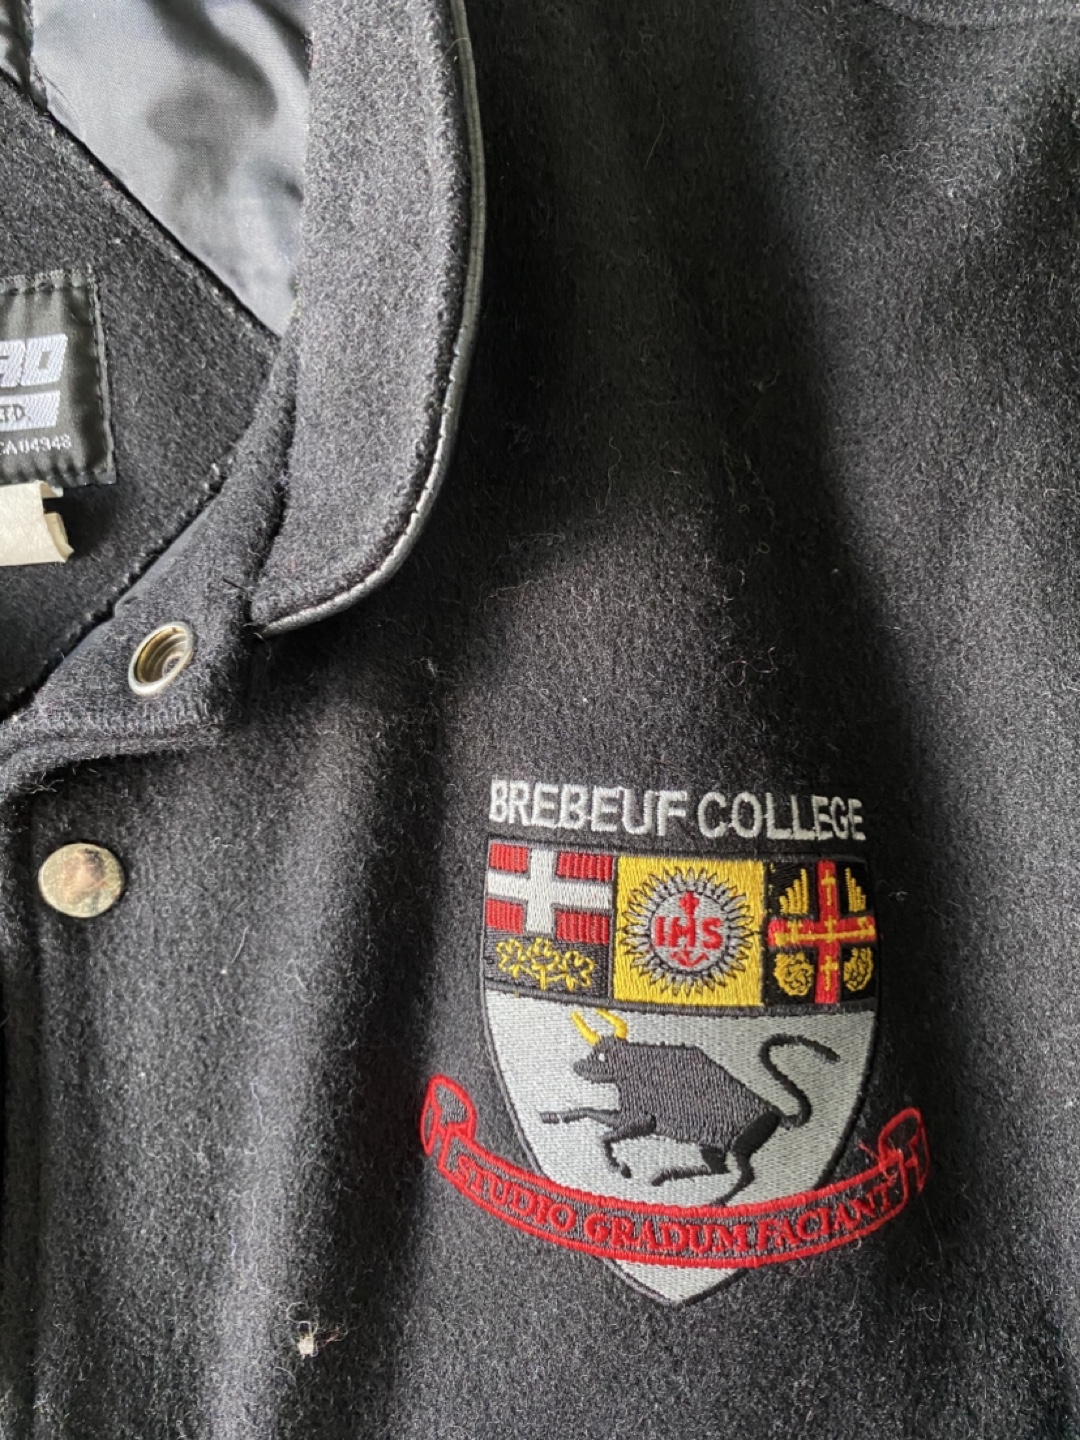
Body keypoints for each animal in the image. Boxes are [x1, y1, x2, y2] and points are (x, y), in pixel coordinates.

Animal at [540, 1009, 839, 1202]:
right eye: (592, 1052)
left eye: (602, 1056)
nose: (577, 1066)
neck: (634, 1069)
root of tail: (775, 1112)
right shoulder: (628, 1114)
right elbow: (590, 1112)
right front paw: (554, 1115)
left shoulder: (644, 1120)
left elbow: (605, 1135)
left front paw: (618, 1166)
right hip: (712, 1144)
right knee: (719, 1169)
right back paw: (664, 1175)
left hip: (742, 1142)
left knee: (745, 1175)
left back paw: (715, 1200)